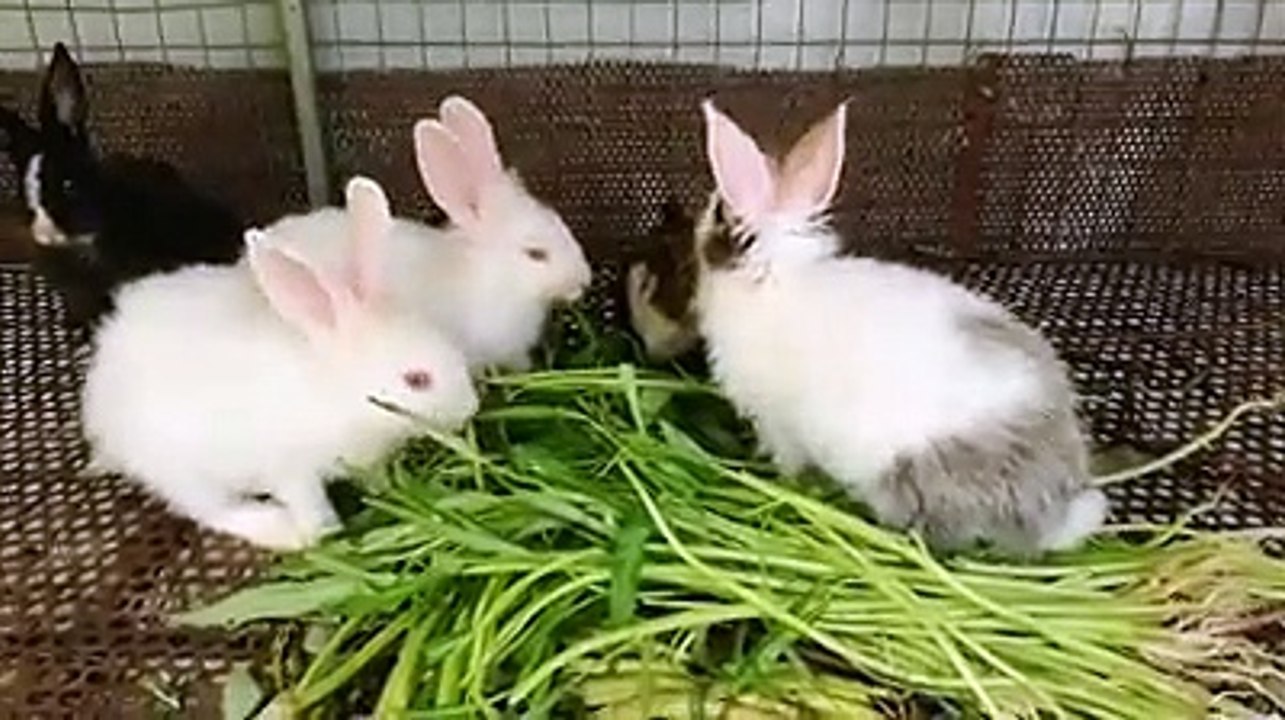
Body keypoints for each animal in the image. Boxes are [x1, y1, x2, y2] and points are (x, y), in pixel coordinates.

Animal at [81, 176, 479, 550]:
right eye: (416, 380)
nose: (471, 408)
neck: (335, 388)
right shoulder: (292, 472)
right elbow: (311, 506)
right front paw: (325, 534)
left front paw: (386, 493)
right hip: (185, 472)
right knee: (214, 511)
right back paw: (280, 530)